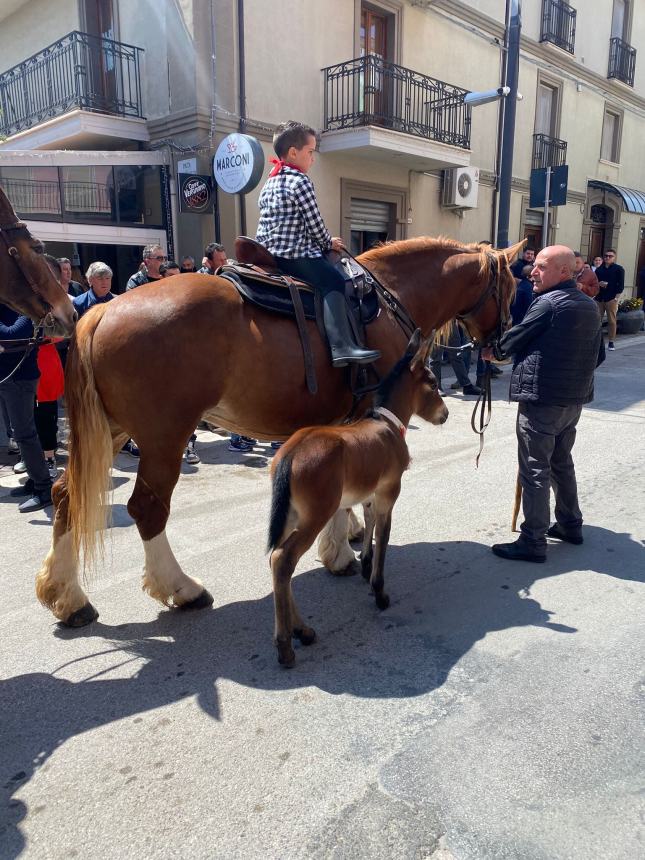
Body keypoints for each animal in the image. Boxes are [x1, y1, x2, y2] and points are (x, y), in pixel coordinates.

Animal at [34, 235, 520, 624]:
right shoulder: (366, 408)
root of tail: (100, 312)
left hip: (114, 431)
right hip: (163, 439)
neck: (390, 296)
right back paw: (181, 588)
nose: (502, 346)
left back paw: (67, 596)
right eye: (511, 287)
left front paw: (346, 538)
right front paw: (341, 552)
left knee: (65, 496)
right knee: (147, 510)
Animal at [266, 330, 448, 664]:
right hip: (315, 516)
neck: (385, 423)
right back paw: (286, 645)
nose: (446, 414)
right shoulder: (389, 492)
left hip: (289, 516)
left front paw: (364, 564)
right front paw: (379, 591)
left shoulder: (369, 493)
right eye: (432, 382)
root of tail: (291, 452)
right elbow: (384, 537)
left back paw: (302, 630)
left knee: (276, 560)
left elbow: (369, 521)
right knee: (284, 560)